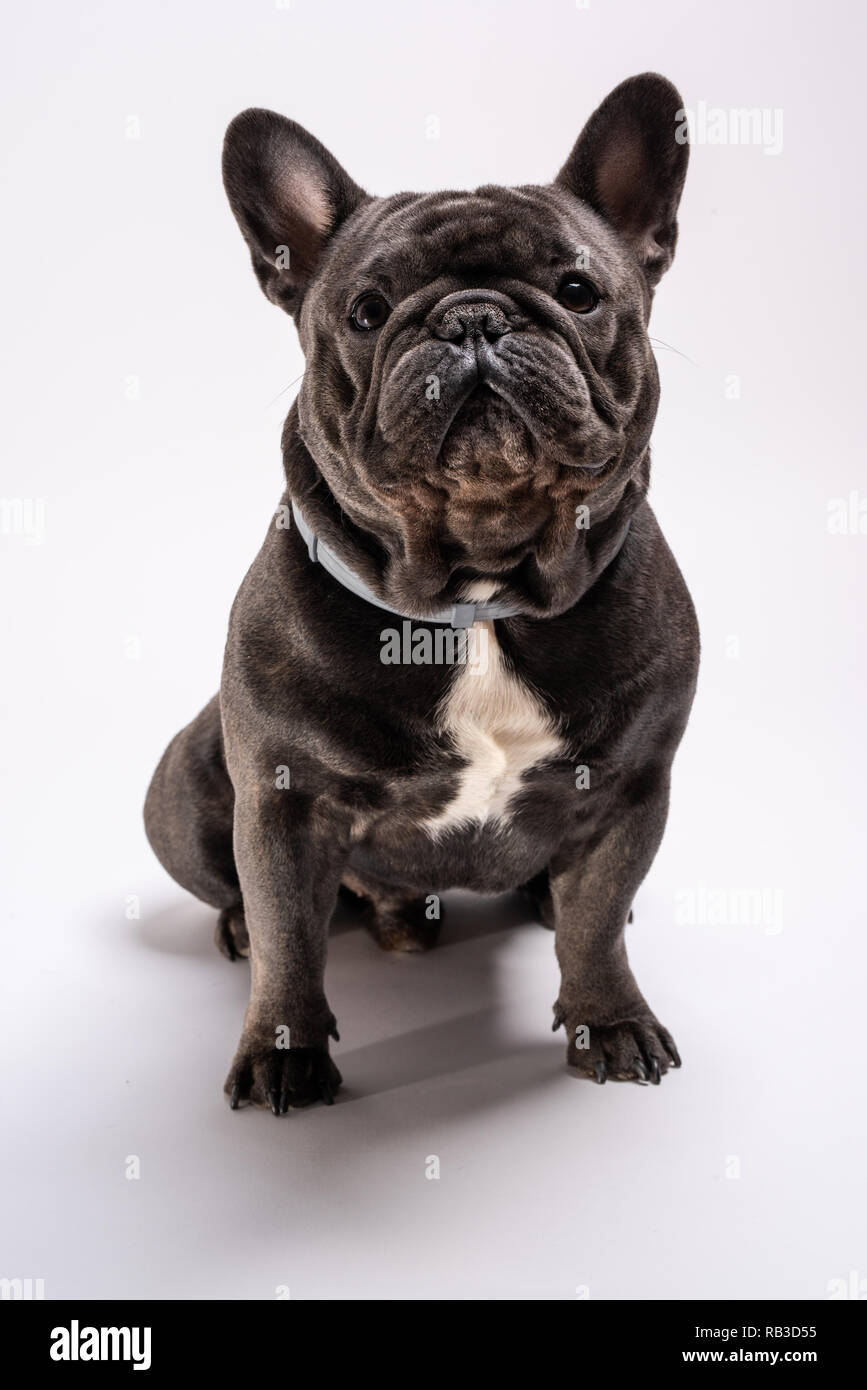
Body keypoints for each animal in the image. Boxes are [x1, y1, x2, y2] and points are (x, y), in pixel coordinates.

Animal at [142, 78, 697, 1117]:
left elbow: (597, 924)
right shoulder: (281, 803)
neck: (478, 596)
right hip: (187, 785)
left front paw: (608, 1019)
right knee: (245, 898)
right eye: (367, 311)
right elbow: (288, 937)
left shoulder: (629, 788)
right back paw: (238, 929)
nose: (472, 319)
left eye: (576, 292)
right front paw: (283, 1051)